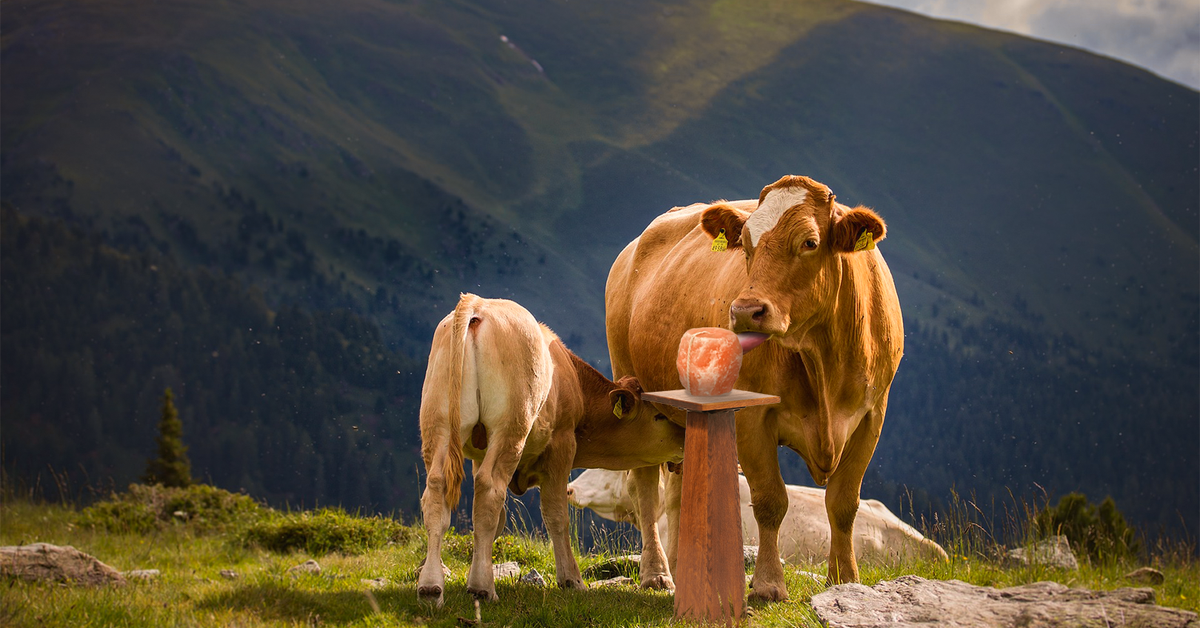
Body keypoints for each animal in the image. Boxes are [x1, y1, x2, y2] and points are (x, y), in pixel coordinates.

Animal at [418, 294, 685, 605]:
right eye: (660, 416)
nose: (685, 434)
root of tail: (478, 305)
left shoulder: (478, 455)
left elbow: (496, 521)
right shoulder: (562, 444)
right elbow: (556, 514)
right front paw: (571, 579)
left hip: (438, 424)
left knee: (436, 489)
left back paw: (431, 585)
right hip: (510, 427)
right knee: (489, 488)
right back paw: (482, 588)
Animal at [605, 175, 904, 600]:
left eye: (809, 242)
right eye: (745, 244)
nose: (746, 311)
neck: (822, 359)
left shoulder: (871, 416)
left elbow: (844, 502)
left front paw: (845, 579)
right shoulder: (751, 417)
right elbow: (769, 500)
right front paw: (767, 584)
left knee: (680, 489)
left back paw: (682, 569)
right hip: (632, 387)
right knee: (646, 487)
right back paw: (657, 573)